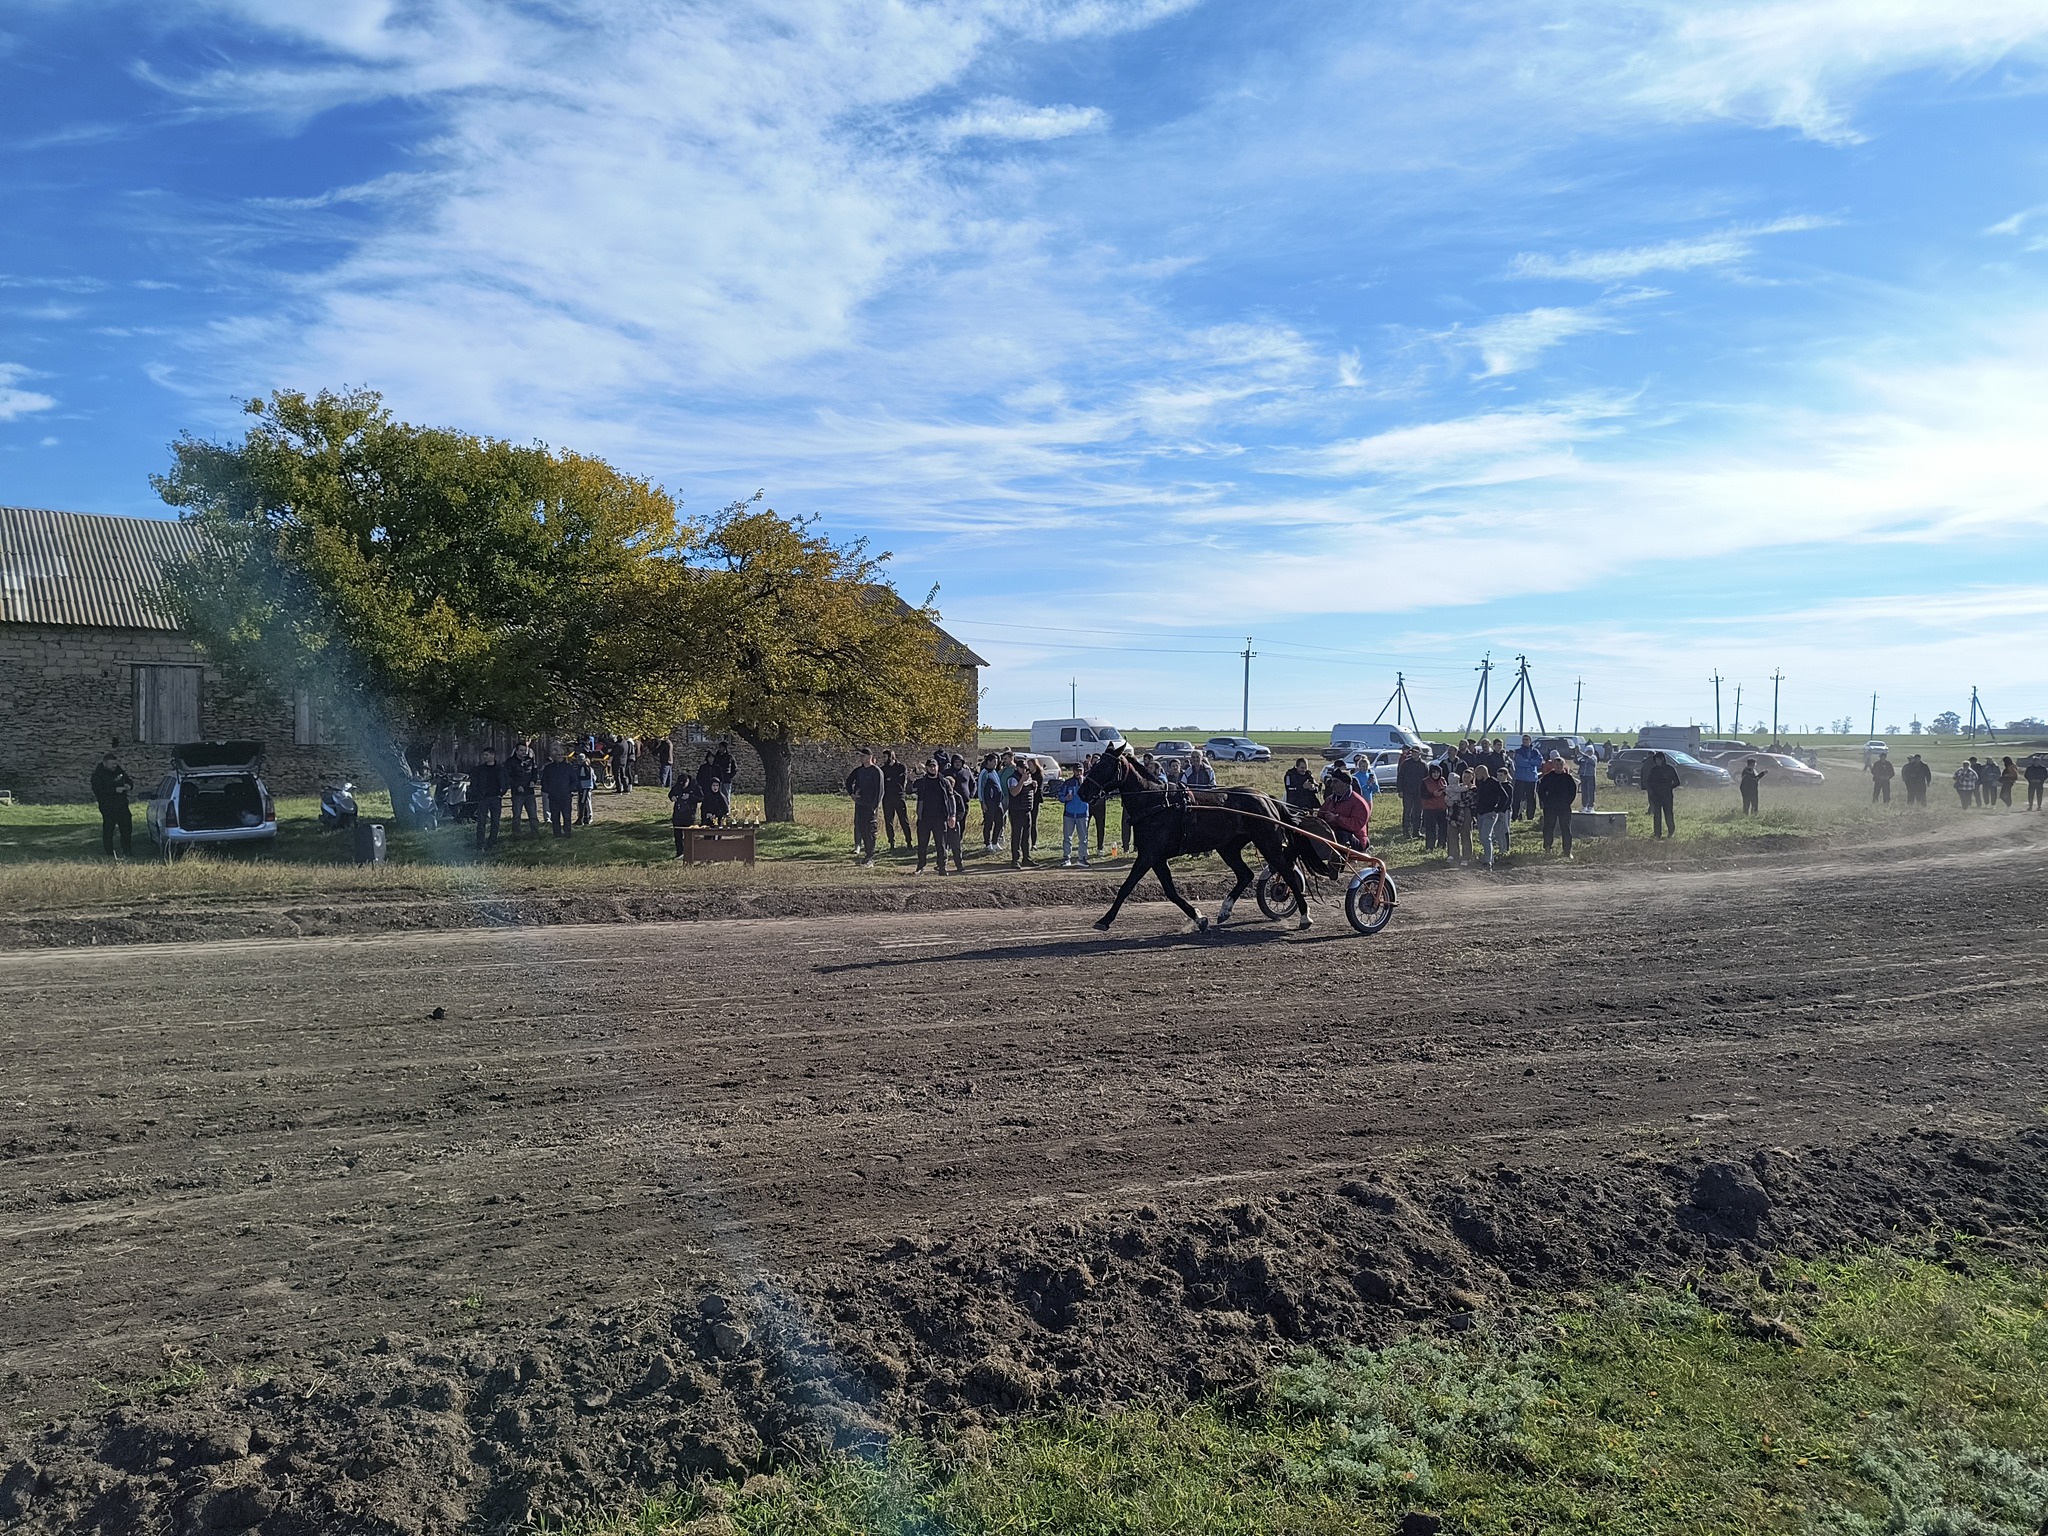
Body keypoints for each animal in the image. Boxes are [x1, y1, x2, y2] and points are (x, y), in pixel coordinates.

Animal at [1073, 745, 1343, 937]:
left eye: (1106, 765)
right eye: (1096, 762)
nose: (1082, 792)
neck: (1157, 802)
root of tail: (1266, 798)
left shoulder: (1149, 855)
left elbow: (1127, 887)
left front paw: (1104, 920)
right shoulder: (1157, 857)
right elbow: (1170, 891)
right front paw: (1200, 919)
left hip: (1268, 843)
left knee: (1286, 872)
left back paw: (1305, 916)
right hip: (1228, 847)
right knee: (1245, 874)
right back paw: (1224, 910)